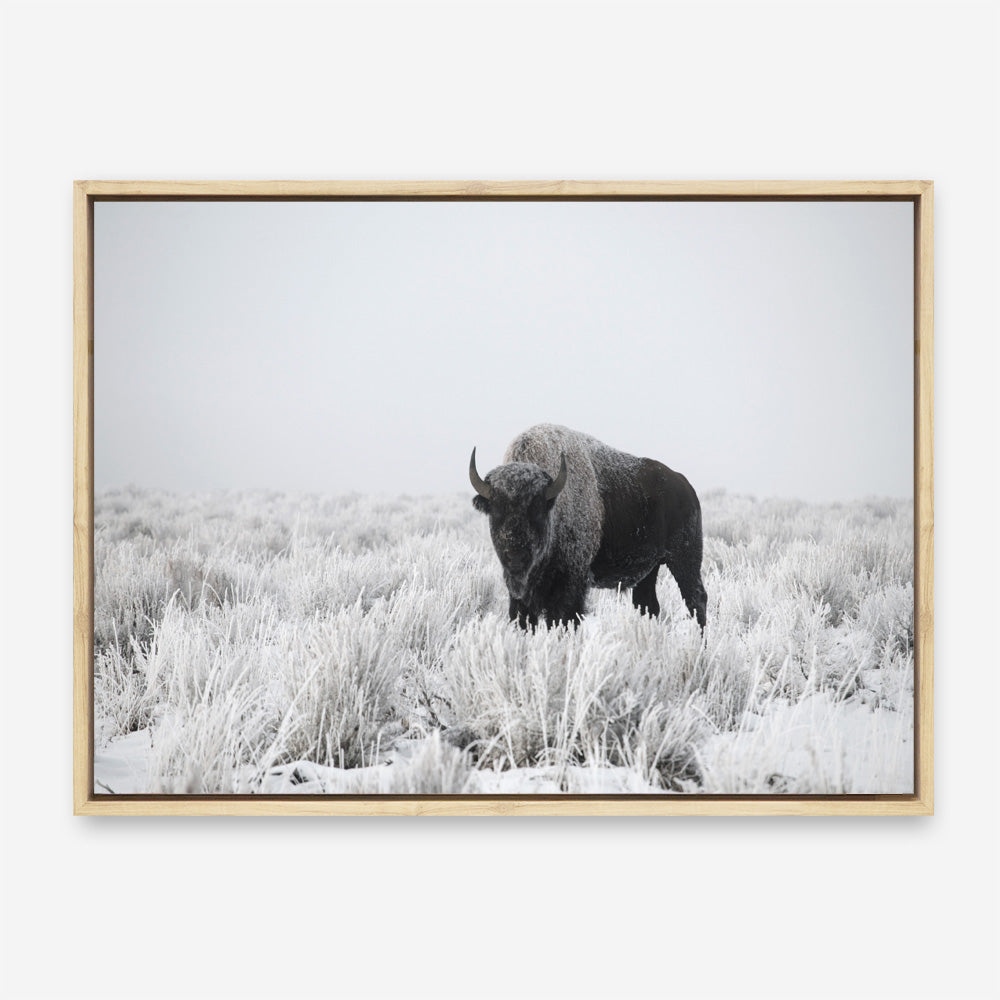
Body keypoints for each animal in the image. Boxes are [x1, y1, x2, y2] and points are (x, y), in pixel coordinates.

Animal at [470, 424, 707, 630]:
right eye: (496, 510)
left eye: (536, 509)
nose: (515, 555)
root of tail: (686, 487)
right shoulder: (520, 594)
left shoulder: (571, 583)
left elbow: (564, 619)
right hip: (650, 569)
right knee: (649, 605)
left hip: (684, 559)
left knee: (696, 599)